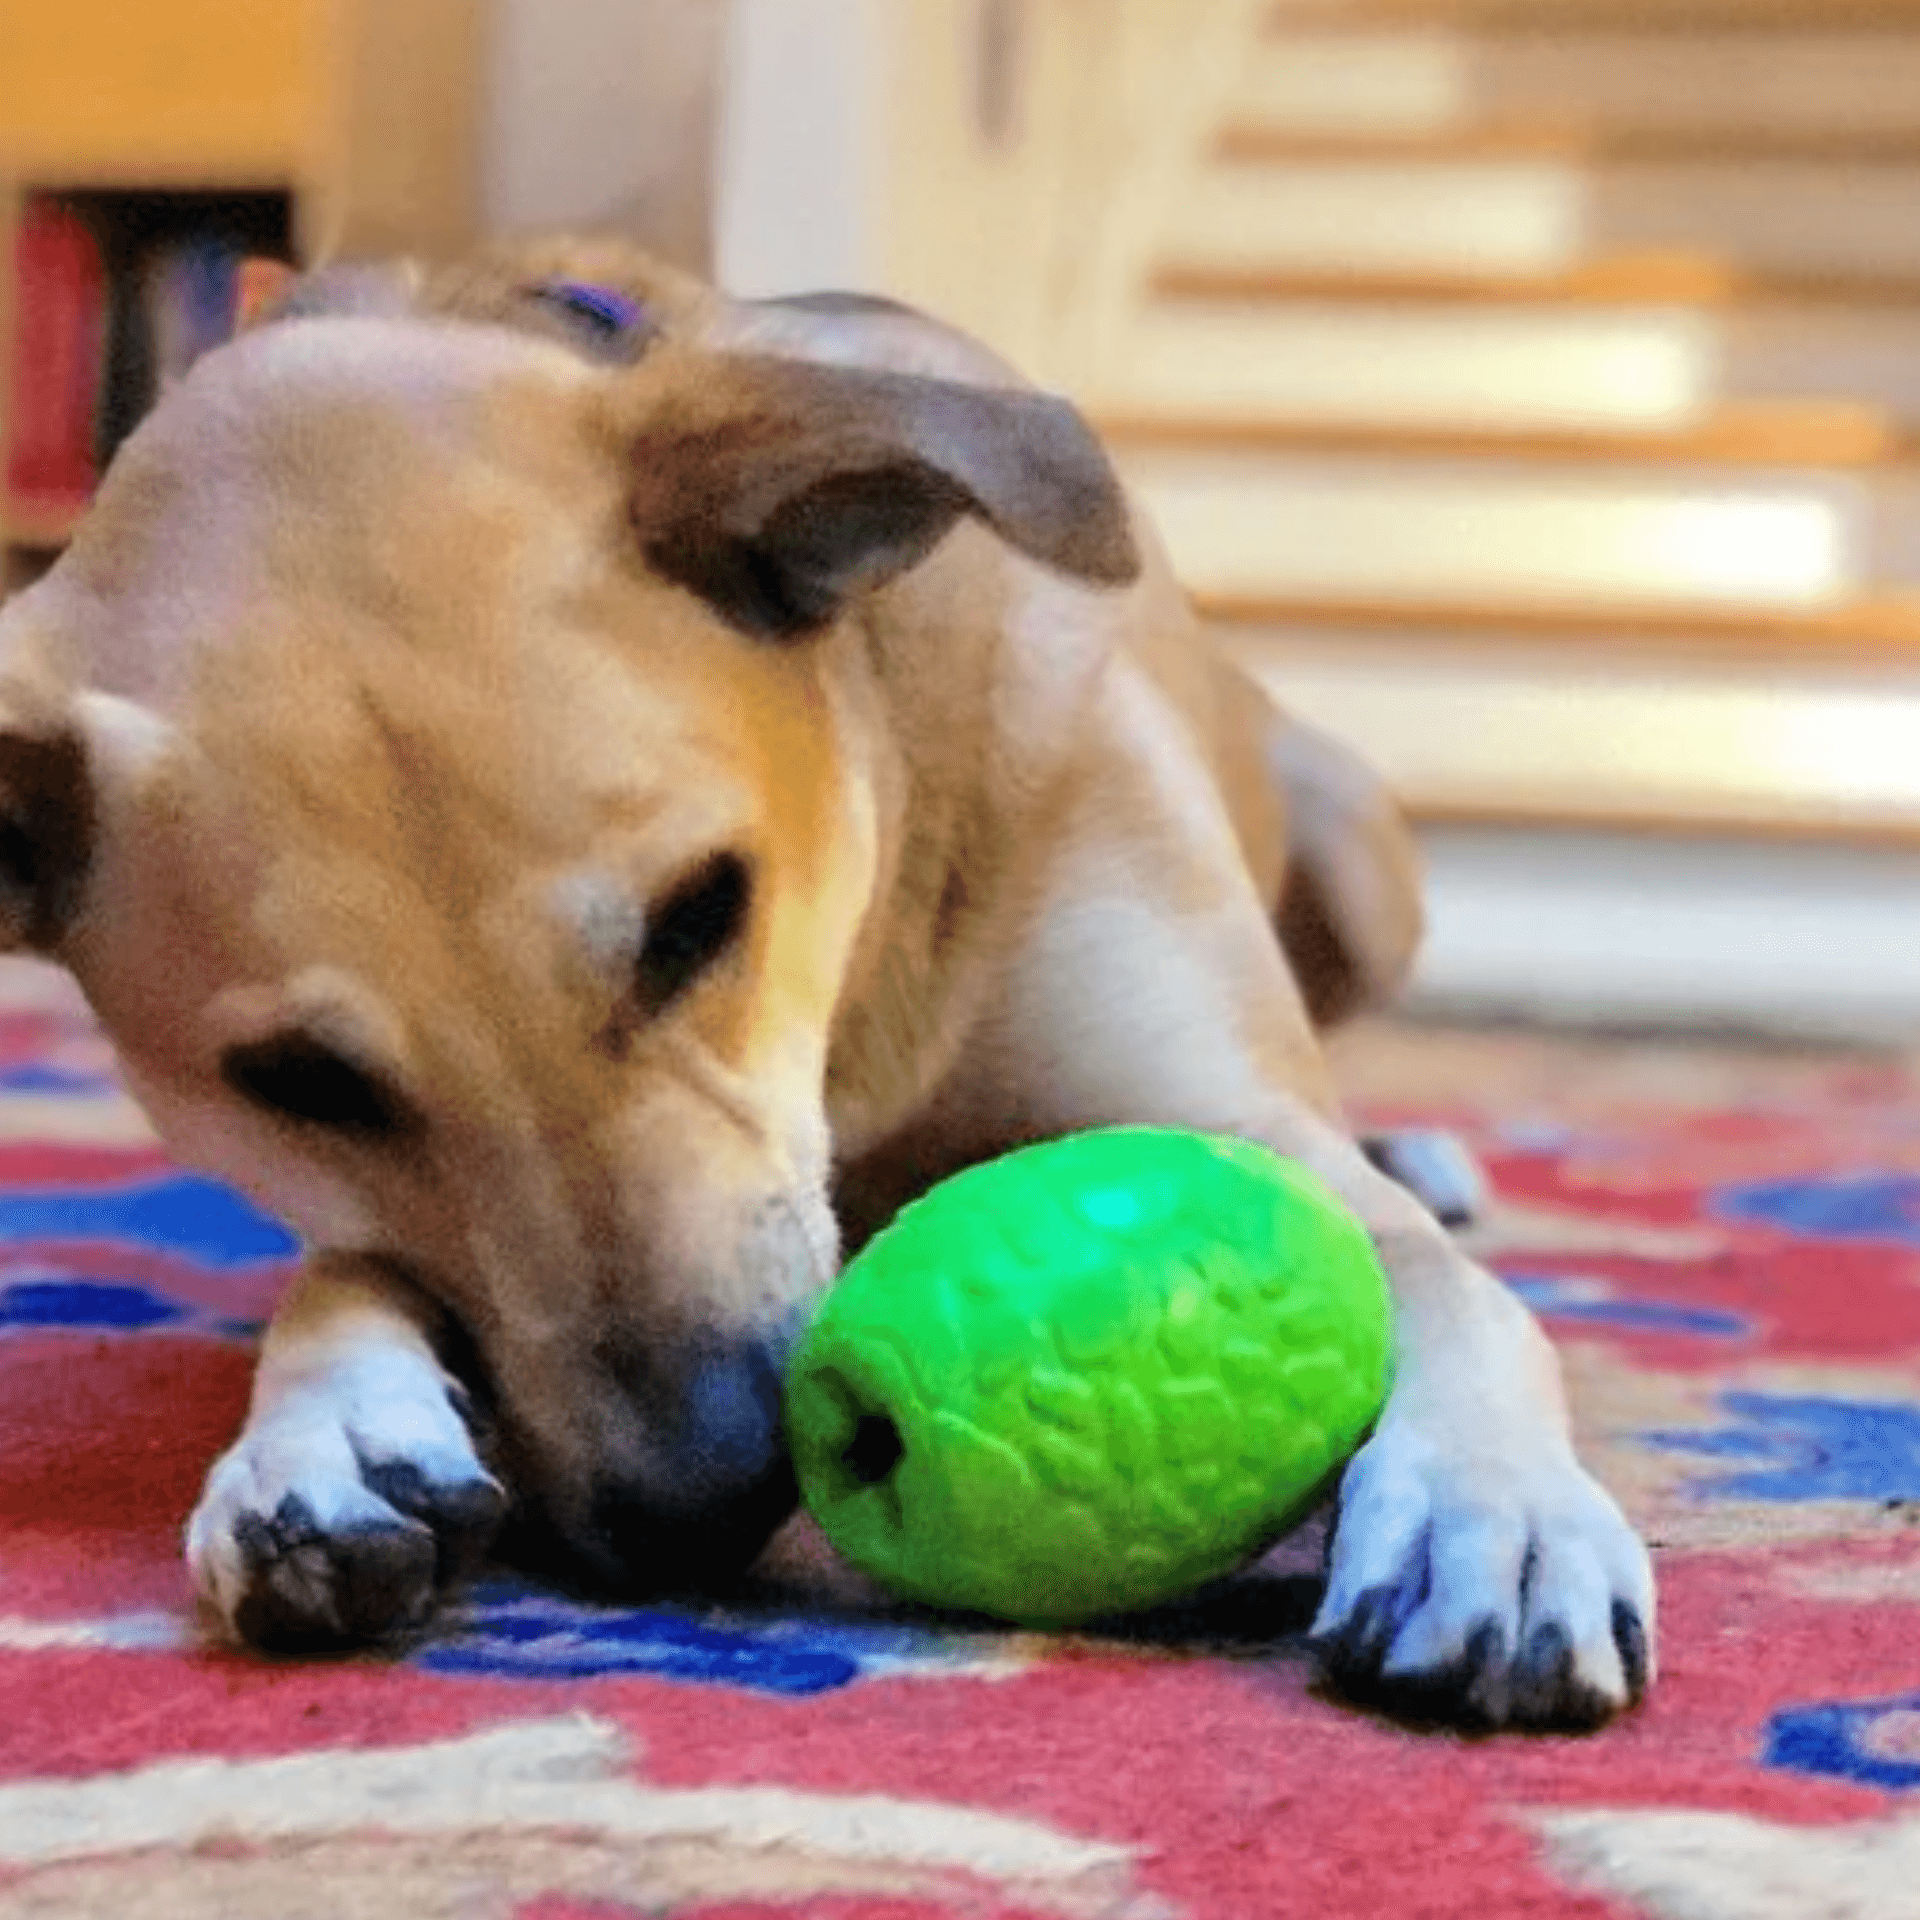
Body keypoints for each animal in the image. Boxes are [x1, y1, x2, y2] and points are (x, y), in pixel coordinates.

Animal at [0, 236, 1651, 1728]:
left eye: (698, 916)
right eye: (298, 1081)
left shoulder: (1245, 1127)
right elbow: (343, 1266)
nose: (702, 1504)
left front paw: (1492, 1508)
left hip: (1370, 859)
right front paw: (320, 1433)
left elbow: (1459, 1298)